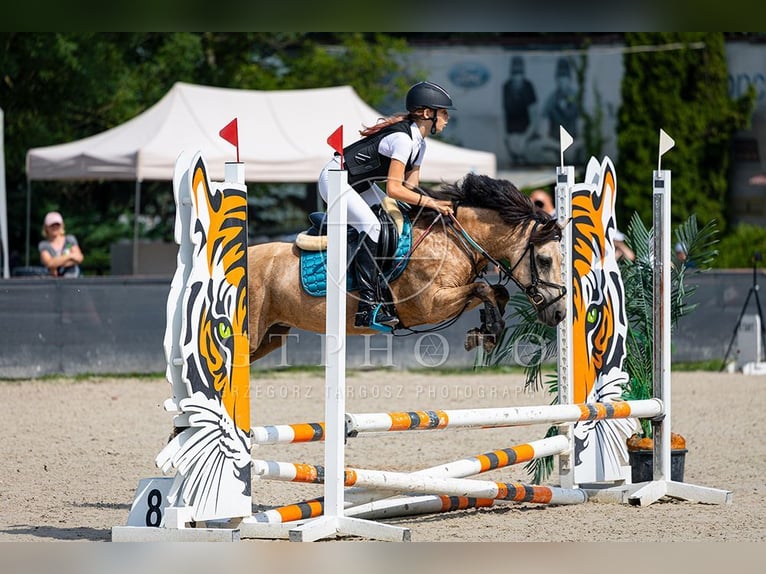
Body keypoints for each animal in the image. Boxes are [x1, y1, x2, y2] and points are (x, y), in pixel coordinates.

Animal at [249, 172, 568, 364]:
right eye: (544, 260)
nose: (559, 314)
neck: (453, 239)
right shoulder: (430, 304)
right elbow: (483, 287)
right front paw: (489, 331)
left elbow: (497, 291)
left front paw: (485, 332)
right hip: (252, 335)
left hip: (271, 337)